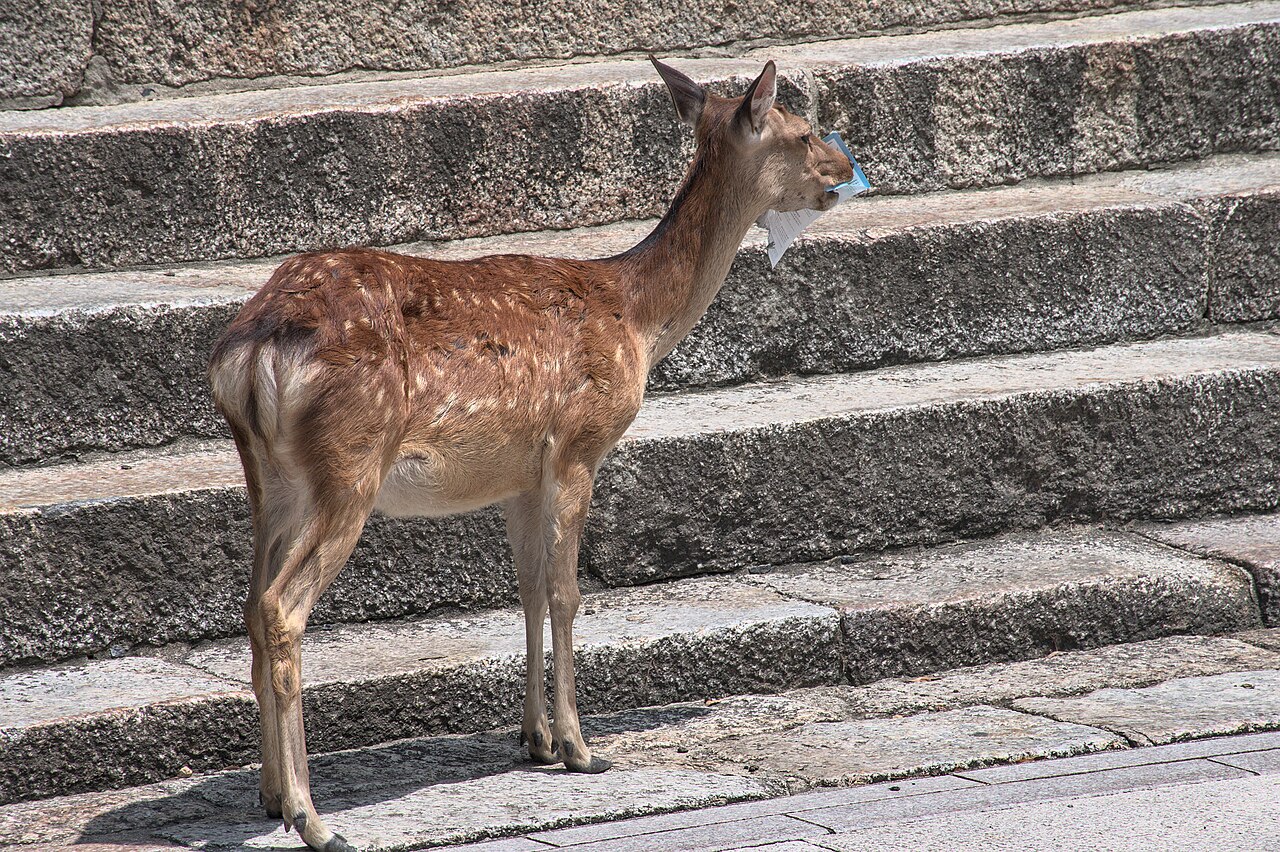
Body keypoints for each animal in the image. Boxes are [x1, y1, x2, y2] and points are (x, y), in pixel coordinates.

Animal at [208, 57, 853, 852]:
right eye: (801, 130)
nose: (846, 167)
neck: (637, 318)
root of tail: (248, 351)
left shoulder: (519, 476)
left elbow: (529, 590)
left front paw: (535, 739)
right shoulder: (579, 446)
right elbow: (569, 592)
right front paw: (580, 747)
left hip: (269, 479)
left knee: (249, 603)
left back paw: (270, 794)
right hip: (348, 465)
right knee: (281, 606)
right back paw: (312, 816)